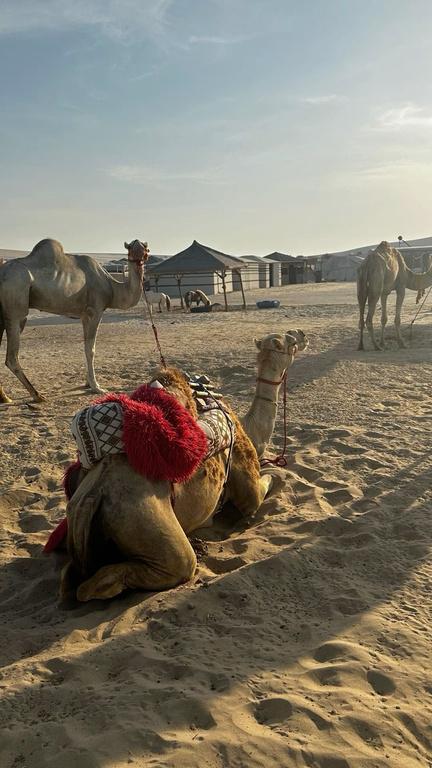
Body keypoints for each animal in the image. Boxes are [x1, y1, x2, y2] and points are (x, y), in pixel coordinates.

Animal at [0, 238, 148, 404]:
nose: (139, 262)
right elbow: (91, 349)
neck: (111, 286)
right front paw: (96, 387)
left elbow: (86, 347)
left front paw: (87, 382)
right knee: (11, 357)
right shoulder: (95, 311)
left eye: (145, 250)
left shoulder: (84, 316)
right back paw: (37, 395)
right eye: (130, 251)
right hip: (16, 307)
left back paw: (5, 397)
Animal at [59, 328, 307, 602]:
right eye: (289, 340)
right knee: (166, 567)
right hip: (146, 521)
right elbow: (265, 485)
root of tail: (92, 496)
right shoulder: (248, 485)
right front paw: (276, 471)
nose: (302, 334)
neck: (248, 429)